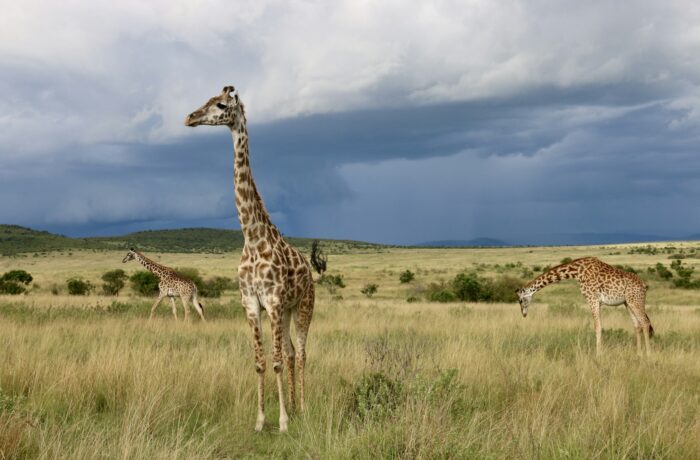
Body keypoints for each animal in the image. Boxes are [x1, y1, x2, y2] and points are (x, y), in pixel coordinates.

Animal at [184, 86, 315, 433]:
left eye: (220, 105)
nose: (190, 117)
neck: (253, 239)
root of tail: (311, 272)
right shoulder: (252, 303)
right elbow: (260, 362)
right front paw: (260, 421)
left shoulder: (273, 301)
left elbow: (277, 362)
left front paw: (282, 422)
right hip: (286, 311)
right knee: (292, 351)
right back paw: (295, 406)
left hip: (303, 306)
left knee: (301, 353)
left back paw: (303, 407)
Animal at [517, 257, 653, 356]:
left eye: (520, 300)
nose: (523, 314)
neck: (577, 272)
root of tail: (644, 285)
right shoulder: (597, 301)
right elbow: (599, 326)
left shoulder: (592, 299)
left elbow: (598, 327)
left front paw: (598, 355)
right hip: (628, 303)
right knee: (637, 325)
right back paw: (638, 354)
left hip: (635, 300)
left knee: (645, 322)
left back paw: (648, 354)